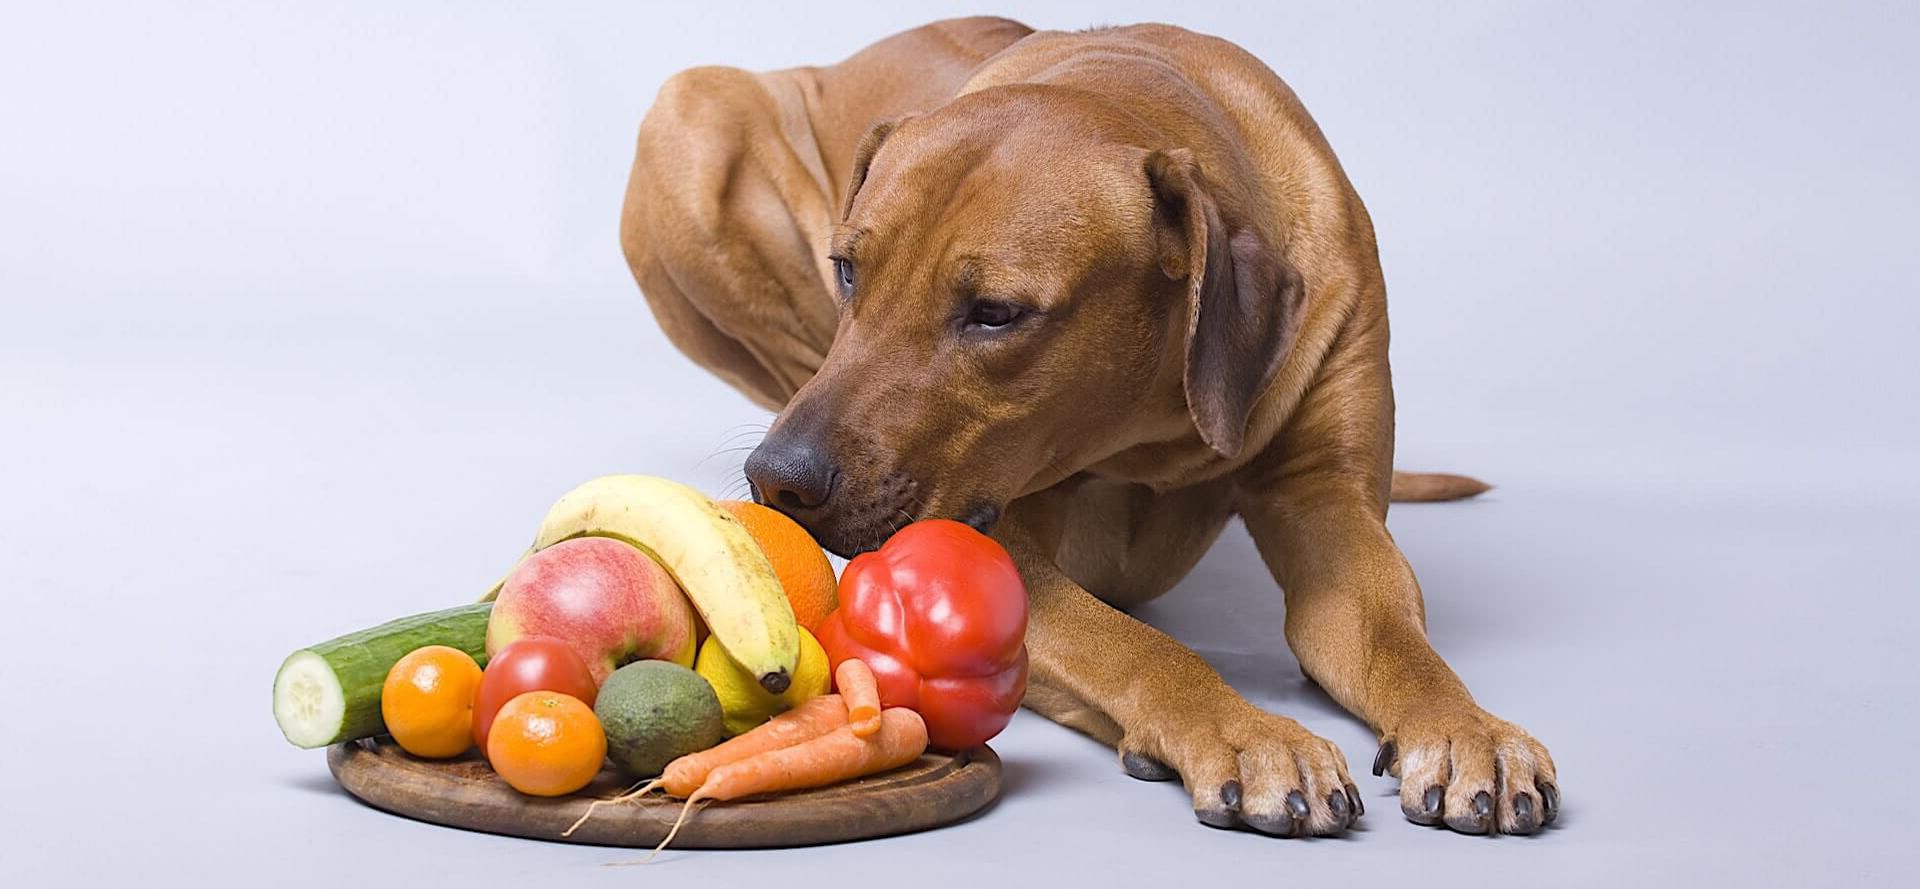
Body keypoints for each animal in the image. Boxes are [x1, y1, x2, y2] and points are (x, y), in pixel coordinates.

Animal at [622, 17, 1551, 837]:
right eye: (848, 269)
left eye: (996, 313)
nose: (779, 476)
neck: (1151, 425)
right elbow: (1134, 647)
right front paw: (1247, 732)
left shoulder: (1330, 502)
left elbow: (1392, 633)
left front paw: (1468, 728)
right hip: (691, 110)